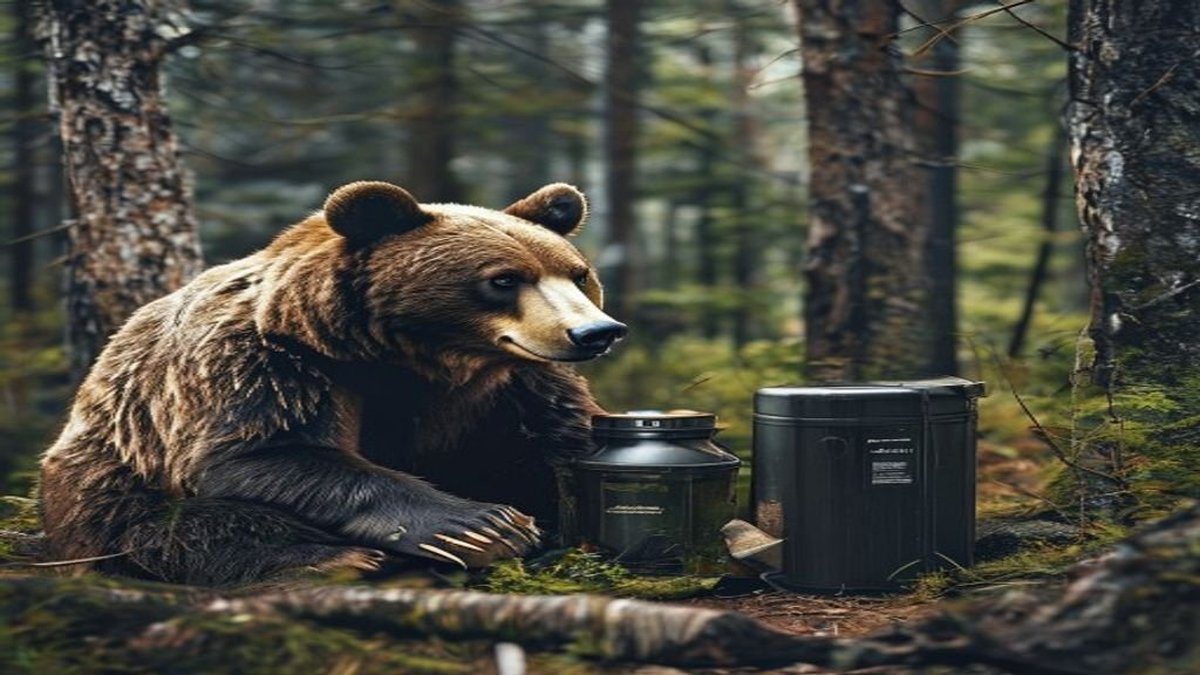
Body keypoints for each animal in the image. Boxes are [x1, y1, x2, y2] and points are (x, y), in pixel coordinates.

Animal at [38, 181, 626, 586]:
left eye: (577, 274)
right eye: (503, 279)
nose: (595, 332)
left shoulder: (513, 385)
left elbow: (556, 448)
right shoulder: (273, 360)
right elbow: (260, 454)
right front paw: (484, 525)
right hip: (108, 474)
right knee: (171, 526)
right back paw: (340, 558)